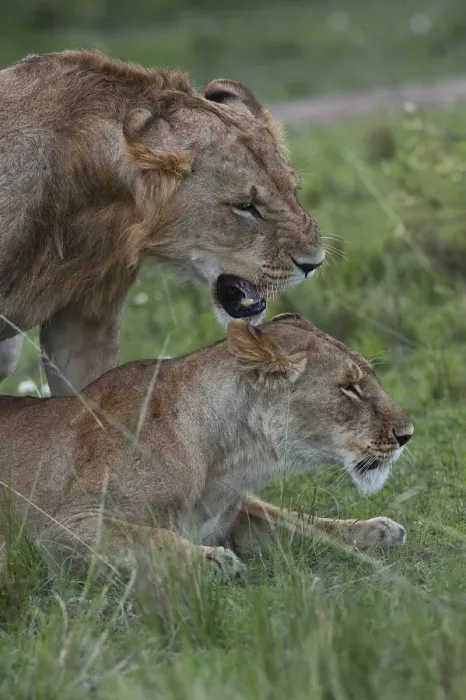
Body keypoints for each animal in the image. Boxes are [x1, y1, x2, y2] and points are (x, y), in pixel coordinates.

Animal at [0, 313, 413, 575]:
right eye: (350, 387)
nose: (407, 434)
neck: (229, 463)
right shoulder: (60, 529)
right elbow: (146, 538)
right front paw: (210, 560)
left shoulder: (234, 513)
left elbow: (304, 523)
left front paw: (377, 530)